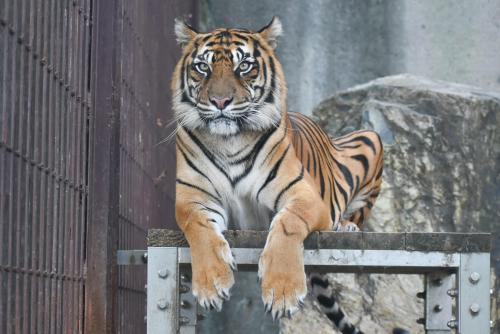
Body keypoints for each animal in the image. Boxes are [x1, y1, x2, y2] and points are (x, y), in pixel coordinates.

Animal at [171, 17, 382, 332]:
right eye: (203, 67)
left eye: (244, 66)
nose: (220, 101)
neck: (229, 141)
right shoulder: (193, 198)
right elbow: (198, 227)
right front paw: (211, 284)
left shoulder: (303, 195)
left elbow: (288, 224)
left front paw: (283, 292)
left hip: (371, 138)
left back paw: (345, 227)